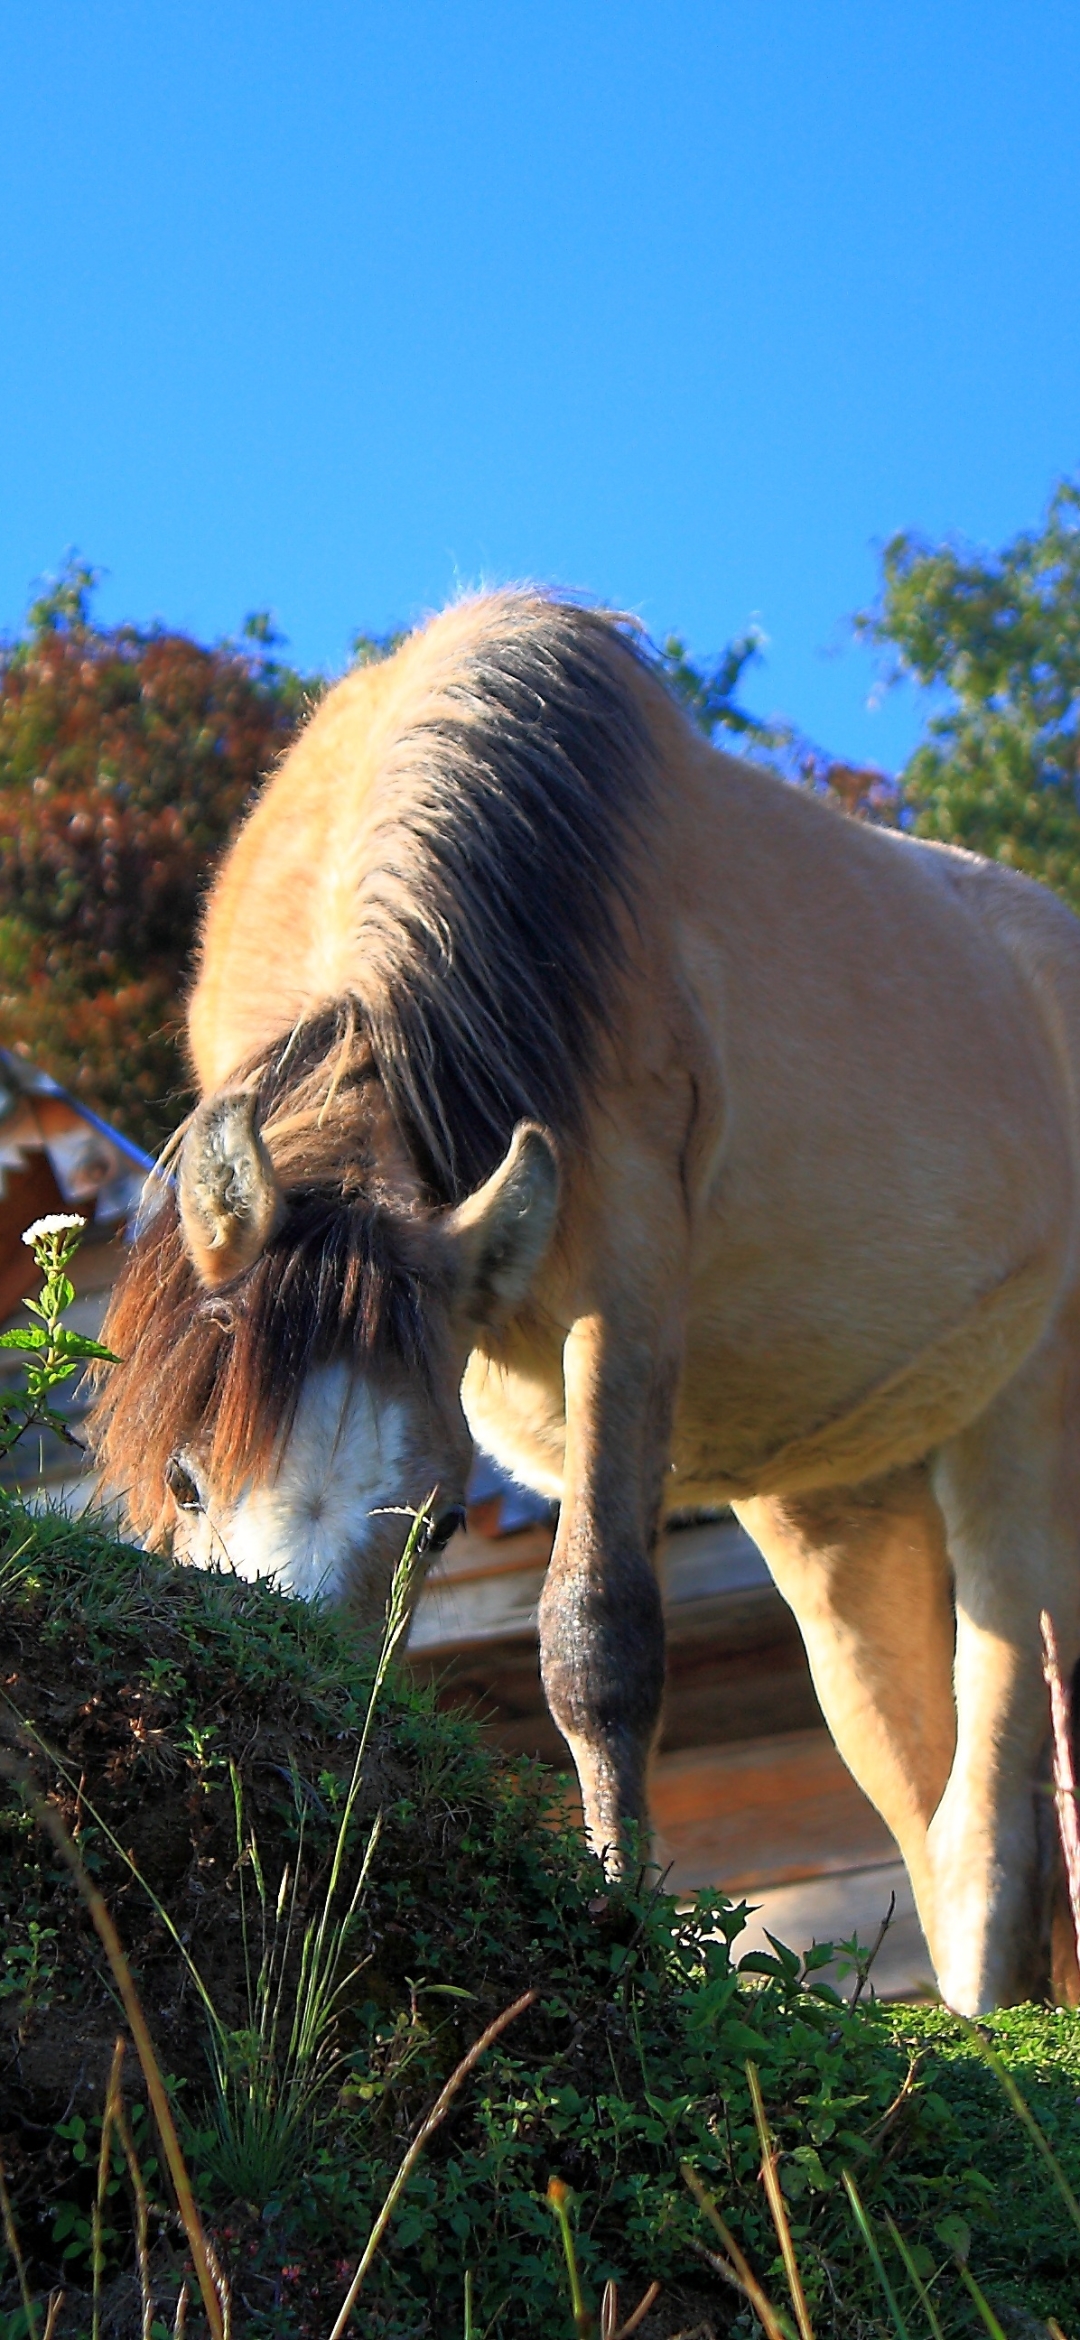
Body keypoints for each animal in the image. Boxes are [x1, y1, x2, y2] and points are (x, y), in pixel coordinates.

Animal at [88, 580, 1080, 2012]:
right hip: (838, 1505)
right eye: (184, 1477)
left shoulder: (623, 1285)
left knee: (1000, 1782)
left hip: (1021, 1421)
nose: (292, 1768)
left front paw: (625, 1919)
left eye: (441, 1525)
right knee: (922, 1796)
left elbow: (595, 1640)